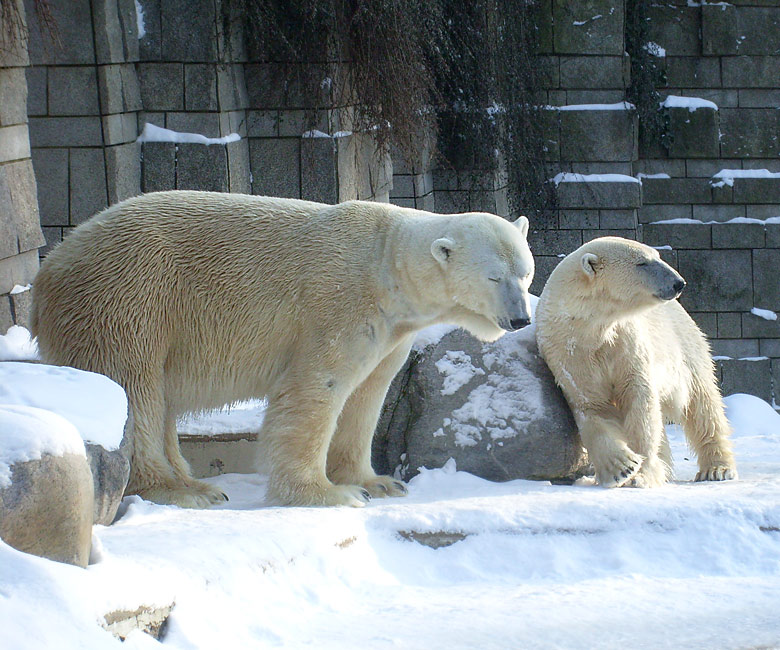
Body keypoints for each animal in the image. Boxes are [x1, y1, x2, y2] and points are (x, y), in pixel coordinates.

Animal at [536, 234, 736, 486]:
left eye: (657, 256)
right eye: (642, 262)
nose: (678, 282)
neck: (589, 327)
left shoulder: (625, 342)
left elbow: (638, 400)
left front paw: (640, 474)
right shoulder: (569, 353)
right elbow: (592, 405)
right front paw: (620, 468)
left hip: (684, 346)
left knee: (702, 404)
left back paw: (717, 469)